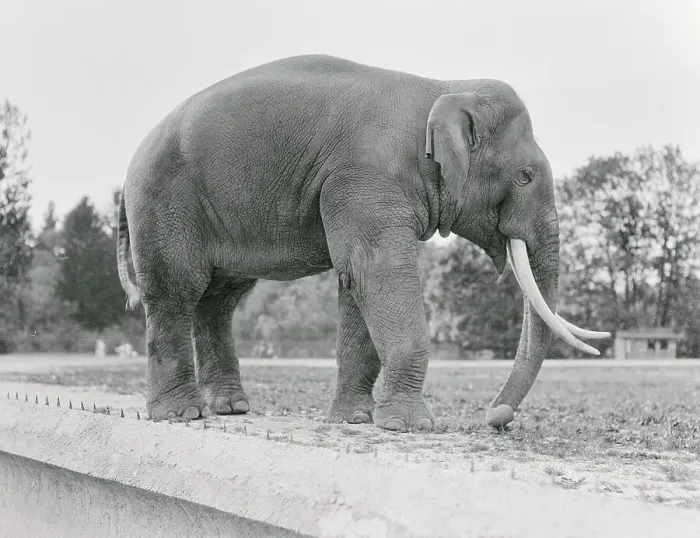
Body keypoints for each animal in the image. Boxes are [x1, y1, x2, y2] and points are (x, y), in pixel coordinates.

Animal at [117, 54, 609, 431]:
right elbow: (378, 273)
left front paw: (354, 420)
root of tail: (129, 166)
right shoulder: (365, 180)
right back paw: (181, 415)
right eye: (525, 176)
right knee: (175, 291)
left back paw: (231, 409)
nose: (495, 417)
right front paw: (411, 427)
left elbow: (356, 281)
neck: (444, 87)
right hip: (164, 202)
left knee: (219, 300)